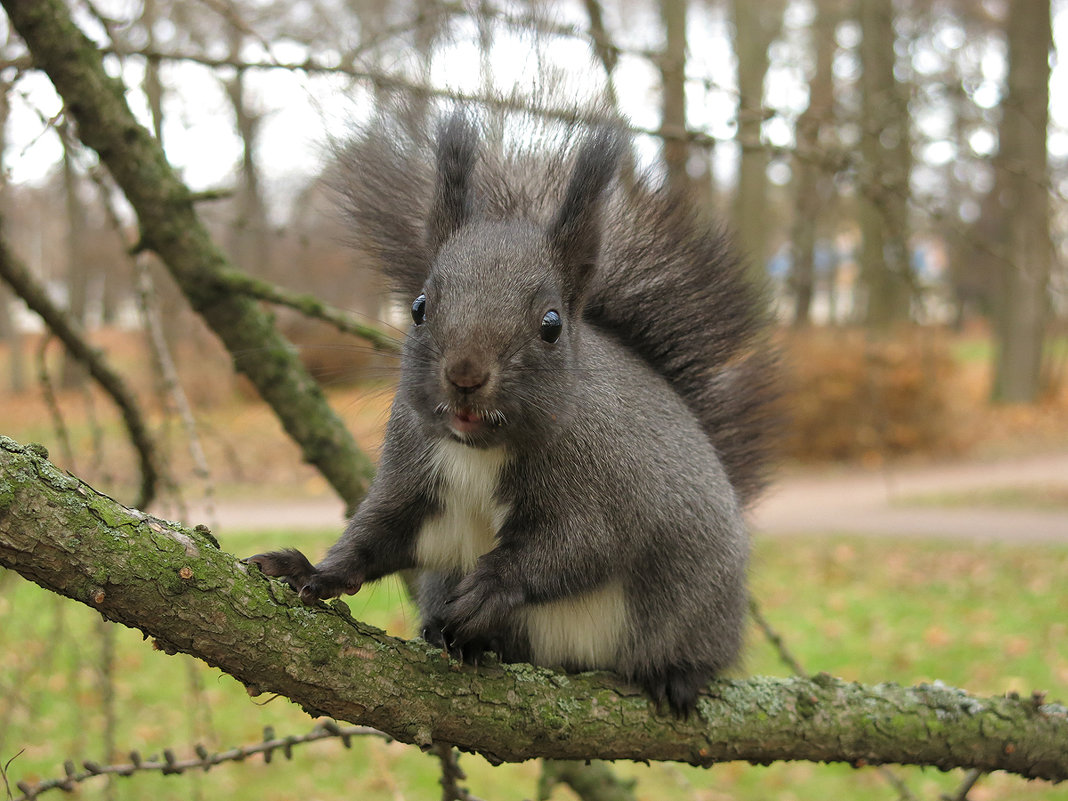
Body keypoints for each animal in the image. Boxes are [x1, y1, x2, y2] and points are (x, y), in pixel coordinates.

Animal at [248, 101, 777, 713]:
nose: (464, 375)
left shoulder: (605, 491)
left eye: (551, 324)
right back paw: (466, 641)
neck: (480, 451)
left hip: (700, 602)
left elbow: (577, 550)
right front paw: (311, 570)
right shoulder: (417, 481)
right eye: (420, 307)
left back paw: (679, 675)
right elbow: (376, 536)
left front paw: (490, 588)